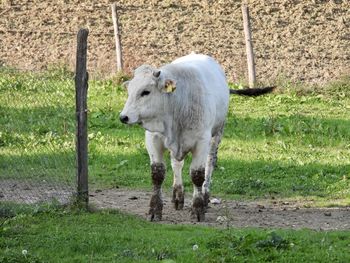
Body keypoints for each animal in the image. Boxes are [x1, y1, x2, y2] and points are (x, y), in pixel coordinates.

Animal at [120, 54, 274, 223]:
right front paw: (154, 209)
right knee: (176, 164)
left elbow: (197, 175)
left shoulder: (201, 142)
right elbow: (157, 174)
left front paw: (198, 208)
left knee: (210, 163)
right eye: (129, 91)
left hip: (217, 134)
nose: (123, 117)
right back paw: (178, 196)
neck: (176, 105)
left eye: (145, 92)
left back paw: (205, 197)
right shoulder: (153, 139)